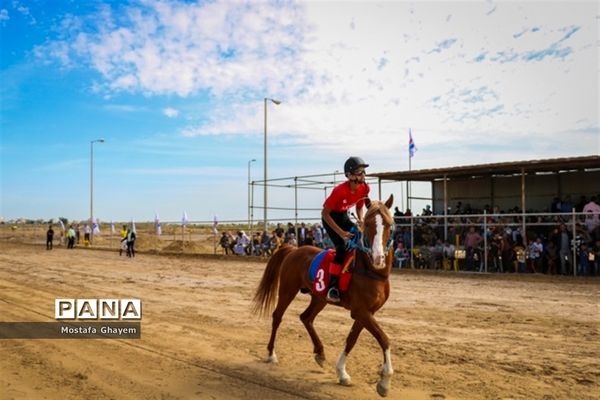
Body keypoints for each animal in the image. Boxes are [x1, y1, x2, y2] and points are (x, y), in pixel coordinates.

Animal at [252, 195, 396, 396]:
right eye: (367, 224)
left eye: (389, 224)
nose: (378, 258)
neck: (372, 272)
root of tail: (294, 250)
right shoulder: (360, 311)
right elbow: (384, 339)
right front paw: (385, 382)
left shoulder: (367, 312)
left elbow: (351, 339)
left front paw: (342, 373)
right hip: (288, 290)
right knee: (277, 316)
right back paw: (271, 354)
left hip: (319, 298)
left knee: (306, 317)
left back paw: (319, 353)